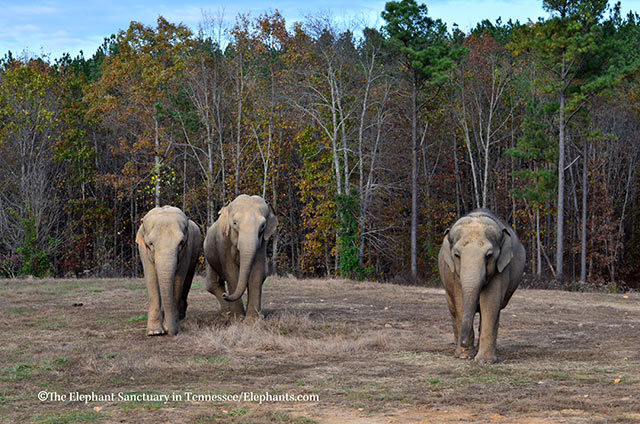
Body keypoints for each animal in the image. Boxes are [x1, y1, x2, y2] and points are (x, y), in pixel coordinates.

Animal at [136, 207, 201, 336]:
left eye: (181, 243)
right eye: (150, 244)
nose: (173, 332)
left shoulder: (186, 251)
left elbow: (178, 281)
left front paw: (168, 327)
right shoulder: (143, 251)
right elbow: (151, 279)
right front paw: (155, 332)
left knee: (187, 280)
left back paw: (180, 316)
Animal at [438, 209, 528, 364]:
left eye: (489, 255)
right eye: (457, 255)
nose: (464, 342)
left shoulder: (501, 270)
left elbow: (490, 302)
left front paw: (484, 361)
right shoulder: (454, 274)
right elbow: (460, 302)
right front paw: (465, 356)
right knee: (453, 308)